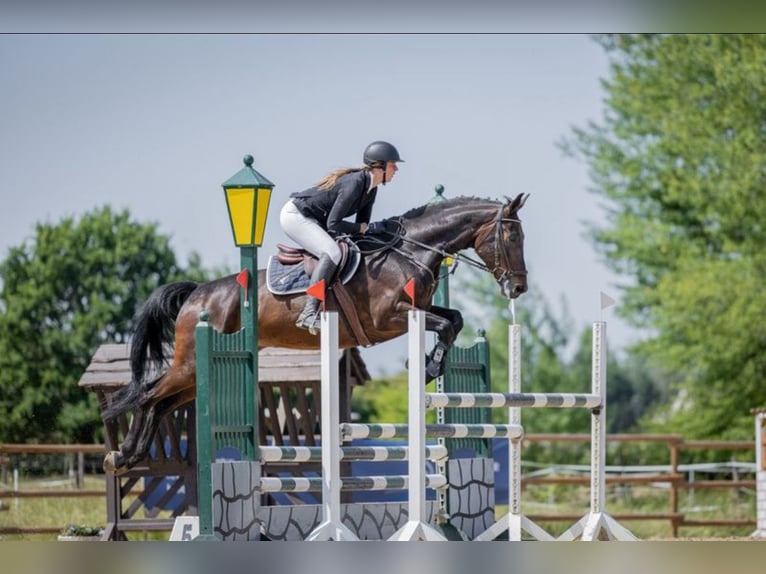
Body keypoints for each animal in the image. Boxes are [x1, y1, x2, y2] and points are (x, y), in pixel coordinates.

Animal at [102, 194, 532, 476]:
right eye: (512, 238)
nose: (518, 288)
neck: (408, 252)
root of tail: (197, 293)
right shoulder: (389, 318)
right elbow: (445, 324)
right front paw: (425, 366)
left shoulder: (417, 309)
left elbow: (454, 319)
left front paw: (428, 364)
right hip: (190, 364)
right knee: (147, 395)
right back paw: (121, 456)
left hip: (194, 378)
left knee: (161, 403)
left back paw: (129, 455)